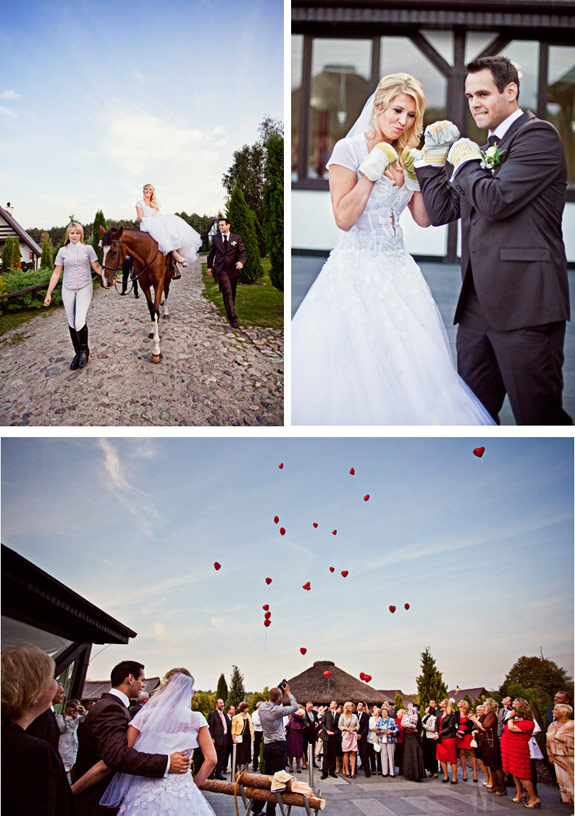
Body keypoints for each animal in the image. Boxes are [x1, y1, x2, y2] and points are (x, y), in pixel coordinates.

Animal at [99, 225, 176, 362]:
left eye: (114, 252)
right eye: (101, 251)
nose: (104, 281)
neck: (147, 254)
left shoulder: (158, 283)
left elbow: (155, 311)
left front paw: (156, 350)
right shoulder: (144, 286)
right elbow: (151, 310)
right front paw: (152, 331)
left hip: (167, 279)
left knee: (166, 293)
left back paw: (166, 312)